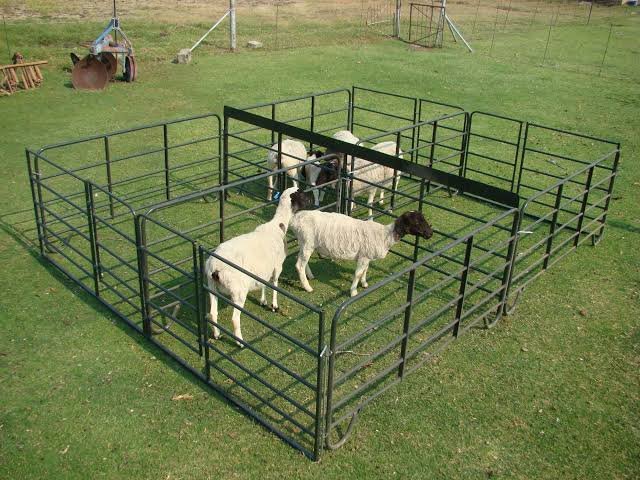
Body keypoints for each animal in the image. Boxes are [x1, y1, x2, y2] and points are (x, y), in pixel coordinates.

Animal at [204, 187, 310, 347]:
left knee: (213, 313)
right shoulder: (277, 266)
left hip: (212, 287)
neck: (278, 225)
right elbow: (274, 284)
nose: (311, 200)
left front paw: (263, 301)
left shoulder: (264, 268)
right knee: (234, 319)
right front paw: (274, 305)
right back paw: (240, 342)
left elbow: (264, 283)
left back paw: (217, 335)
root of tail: (216, 267)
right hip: (238, 291)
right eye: (302, 194)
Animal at [290, 210, 433, 298]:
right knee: (299, 265)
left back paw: (310, 276)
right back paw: (308, 287)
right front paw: (353, 291)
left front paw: (364, 284)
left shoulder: (367, 256)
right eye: (416, 222)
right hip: (307, 242)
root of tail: (295, 219)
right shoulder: (364, 256)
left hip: (304, 243)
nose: (430, 234)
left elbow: (365, 270)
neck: (385, 235)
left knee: (301, 260)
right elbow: (358, 273)